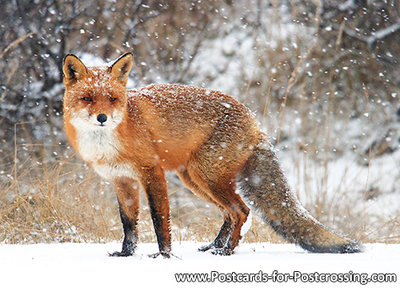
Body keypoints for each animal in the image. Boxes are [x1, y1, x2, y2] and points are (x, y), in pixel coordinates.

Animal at [62, 53, 362, 258]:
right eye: (88, 98)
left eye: (112, 98)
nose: (102, 118)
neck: (109, 143)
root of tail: (254, 121)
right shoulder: (122, 181)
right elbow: (128, 224)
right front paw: (126, 254)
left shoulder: (152, 173)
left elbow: (160, 219)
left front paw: (163, 256)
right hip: (195, 180)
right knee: (229, 213)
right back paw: (214, 246)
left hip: (207, 176)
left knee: (241, 210)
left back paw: (227, 251)